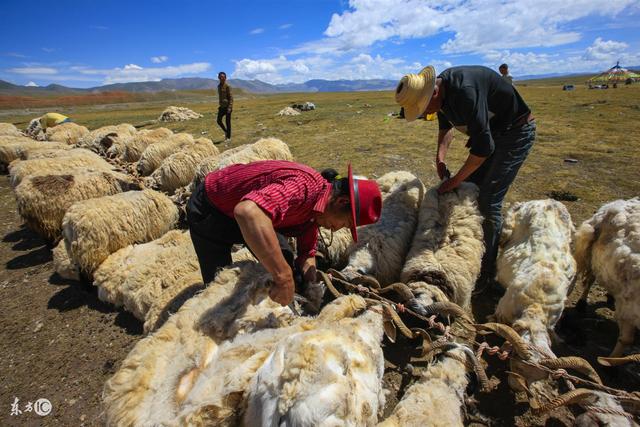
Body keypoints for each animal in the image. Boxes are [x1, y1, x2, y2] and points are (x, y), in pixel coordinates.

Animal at [576, 197, 640, 358]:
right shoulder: (629, 306)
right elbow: (626, 340)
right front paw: (610, 360)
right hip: (592, 256)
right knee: (590, 280)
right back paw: (581, 303)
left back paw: (610, 296)